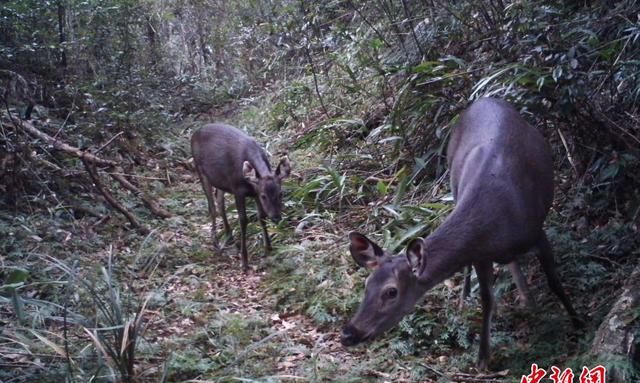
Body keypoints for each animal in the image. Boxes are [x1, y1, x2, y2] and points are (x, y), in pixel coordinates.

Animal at [190, 124, 290, 272]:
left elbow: (261, 217)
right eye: (264, 196)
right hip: (200, 170)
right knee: (212, 207)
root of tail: (195, 133)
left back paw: (229, 237)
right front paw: (244, 261)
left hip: (221, 181)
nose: (276, 217)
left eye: (281, 193)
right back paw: (215, 242)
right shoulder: (238, 190)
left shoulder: (253, 192)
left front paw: (268, 249)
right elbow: (243, 220)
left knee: (220, 203)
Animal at [342, 97, 584, 370]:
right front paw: (483, 358)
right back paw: (472, 297)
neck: (493, 221)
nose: (349, 333)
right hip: (453, 182)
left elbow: (554, 282)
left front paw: (578, 323)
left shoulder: (536, 233)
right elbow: (487, 300)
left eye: (391, 292)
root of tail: (485, 99)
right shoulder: (480, 255)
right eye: (367, 284)